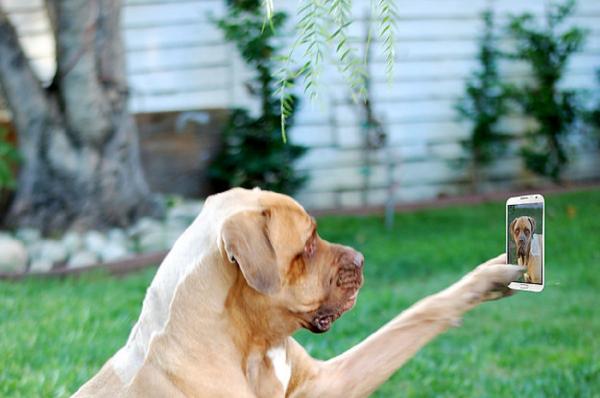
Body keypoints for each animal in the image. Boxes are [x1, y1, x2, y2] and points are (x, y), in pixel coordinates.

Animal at [74, 188, 524, 396]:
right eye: (307, 244)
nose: (361, 259)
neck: (252, 345)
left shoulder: (330, 381)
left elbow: (417, 314)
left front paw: (491, 276)